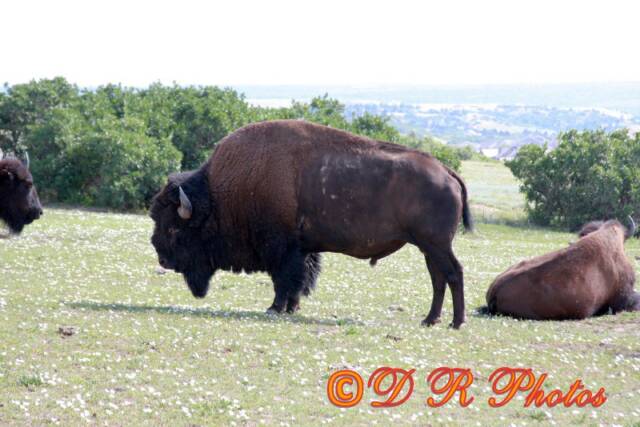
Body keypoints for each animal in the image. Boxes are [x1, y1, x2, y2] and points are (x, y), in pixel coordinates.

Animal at [150, 120, 472, 328]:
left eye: (174, 228)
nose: (163, 259)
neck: (219, 194)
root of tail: (446, 171)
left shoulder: (281, 249)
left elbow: (284, 279)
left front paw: (275, 308)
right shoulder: (302, 250)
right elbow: (298, 279)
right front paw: (292, 308)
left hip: (436, 244)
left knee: (453, 273)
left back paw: (455, 322)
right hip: (428, 247)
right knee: (438, 277)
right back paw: (430, 320)